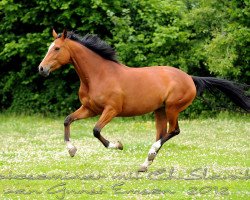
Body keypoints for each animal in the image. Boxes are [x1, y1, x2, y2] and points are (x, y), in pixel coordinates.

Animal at [38, 29, 249, 172]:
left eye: (56, 48)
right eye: (49, 48)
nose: (41, 69)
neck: (99, 75)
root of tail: (190, 78)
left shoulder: (111, 110)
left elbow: (96, 131)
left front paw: (118, 145)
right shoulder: (89, 108)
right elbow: (67, 120)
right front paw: (72, 150)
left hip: (172, 108)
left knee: (173, 131)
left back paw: (150, 154)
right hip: (160, 110)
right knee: (162, 134)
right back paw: (145, 163)